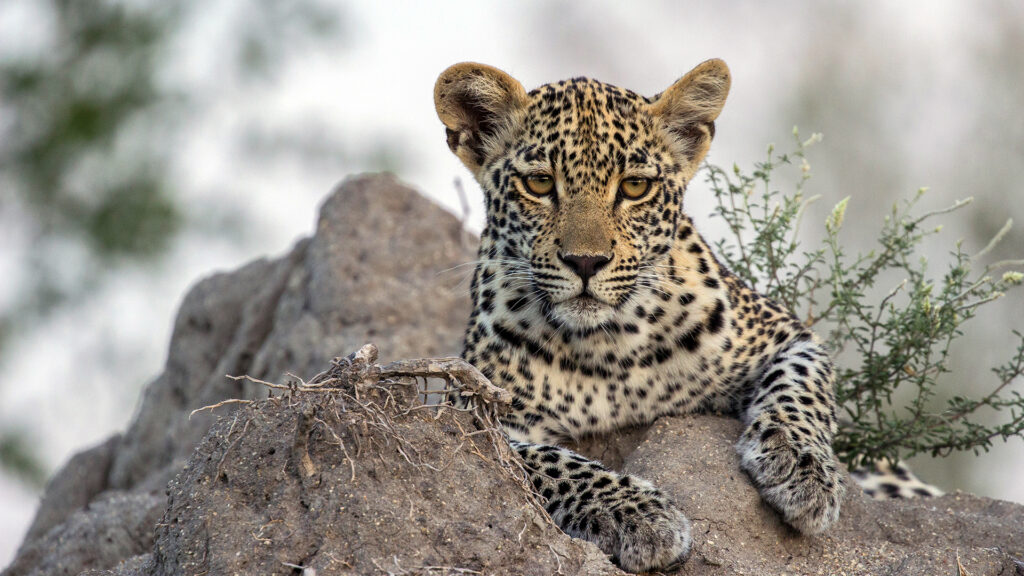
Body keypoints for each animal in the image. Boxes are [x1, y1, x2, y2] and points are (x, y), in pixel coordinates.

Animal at [433, 59, 932, 573]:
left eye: (635, 187)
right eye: (538, 183)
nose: (586, 262)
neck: (606, 346)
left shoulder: (786, 332)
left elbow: (800, 387)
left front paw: (801, 468)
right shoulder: (473, 411)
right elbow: (550, 462)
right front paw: (636, 514)